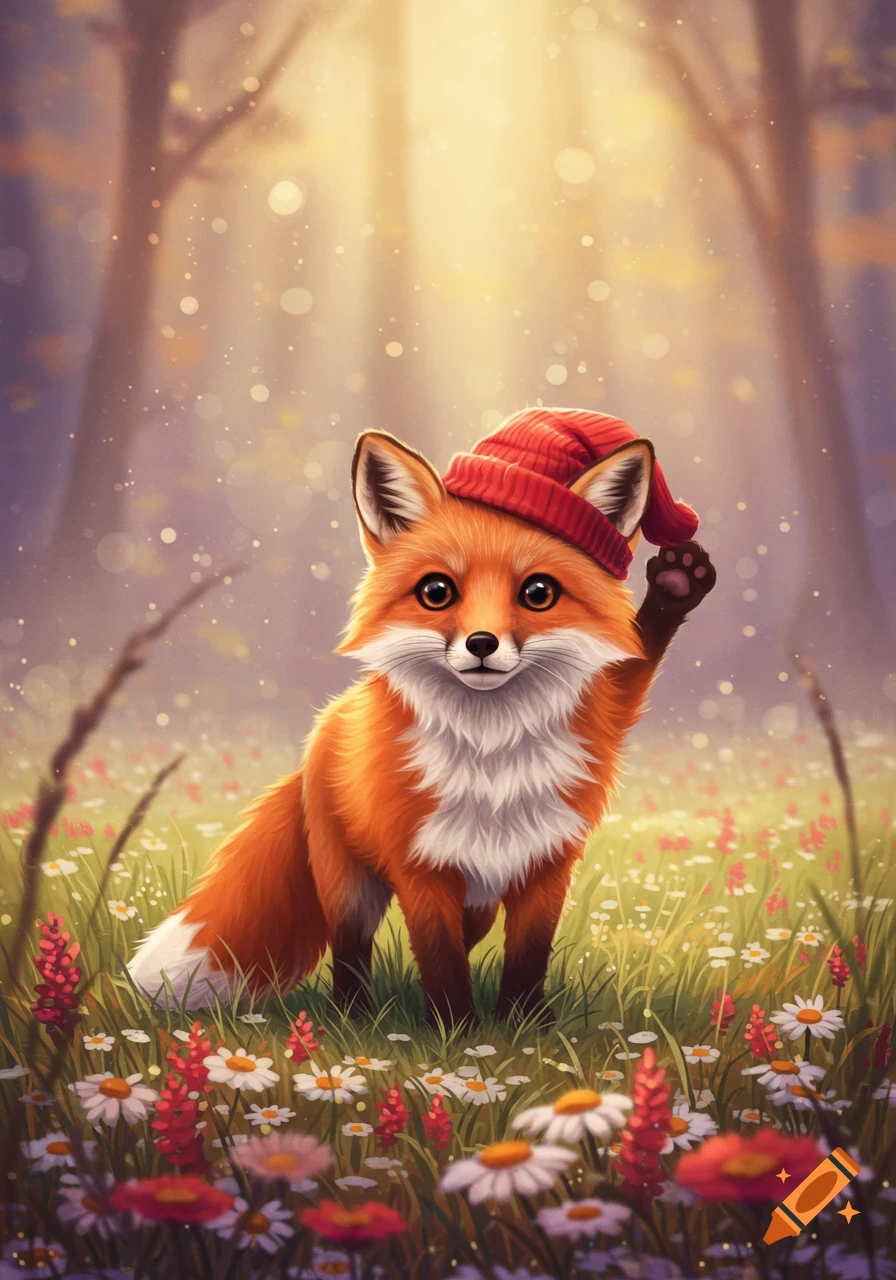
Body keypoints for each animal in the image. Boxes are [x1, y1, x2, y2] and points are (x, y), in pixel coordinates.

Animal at [127, 407, 715, 1025]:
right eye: (437, 591)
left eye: (538, 592)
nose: (482, 644)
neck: (491, 748)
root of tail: (331, 720)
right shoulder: (421, 867)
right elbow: (440, 960)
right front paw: (459, 1033)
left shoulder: (548, 859)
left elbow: (528, 956)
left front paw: (524, 1024)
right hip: (348, 883)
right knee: (350, 949)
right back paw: (353, 1015)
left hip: (478, 891)